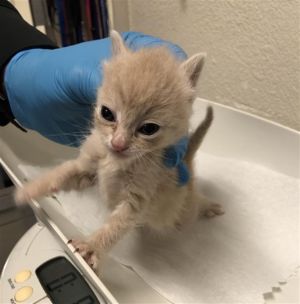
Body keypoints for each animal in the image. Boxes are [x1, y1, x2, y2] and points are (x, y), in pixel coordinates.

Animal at [15, 30, 224, 268]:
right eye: (107, 113)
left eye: (149, 129)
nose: (118, 143)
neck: (116, 162)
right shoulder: (87, 168)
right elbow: (62, 173)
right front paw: (28, 190)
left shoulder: (136, 200)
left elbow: (114, 227)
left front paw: (91, 247)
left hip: (183, 210)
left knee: (194, 205)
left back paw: (208, 206)